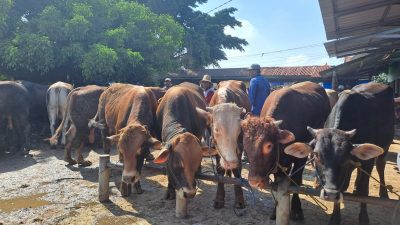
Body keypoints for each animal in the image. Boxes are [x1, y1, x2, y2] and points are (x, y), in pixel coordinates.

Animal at [196, 79, 250, 209]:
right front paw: (219, 198)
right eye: (216, 129)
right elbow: (219, 170)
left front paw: (239, 199)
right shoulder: (215, 146)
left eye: (239, 129)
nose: (230, 162)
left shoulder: (239, 146)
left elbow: (237, 170)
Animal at [244, 81, 332, 220]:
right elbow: (277, 183)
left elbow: (296, 182)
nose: (254, 181)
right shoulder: (278, 163)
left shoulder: (300, 158)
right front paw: (275, 210)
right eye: (245, 146)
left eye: (269, 146)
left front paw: (296, 209)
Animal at [284, 82, 394, 225]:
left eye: (345, 157)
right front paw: (335, 217)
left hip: (386, 146)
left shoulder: (367, 161)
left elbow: (364, 189)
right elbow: (342, 186)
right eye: (316, 155)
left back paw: (383, 192)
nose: (330, 194)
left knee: (380, 165)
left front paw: (364, 218)